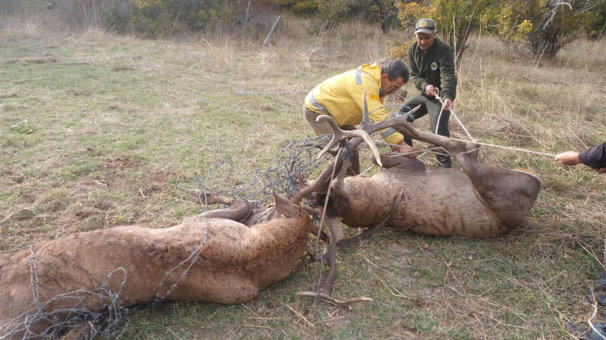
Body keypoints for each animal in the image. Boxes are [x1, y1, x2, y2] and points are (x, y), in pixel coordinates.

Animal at [0, 193, 314, 338]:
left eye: (271, 208)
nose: (265, 209)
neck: (261, 254)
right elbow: (241, 205)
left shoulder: (197, 221)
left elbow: (240, 205)